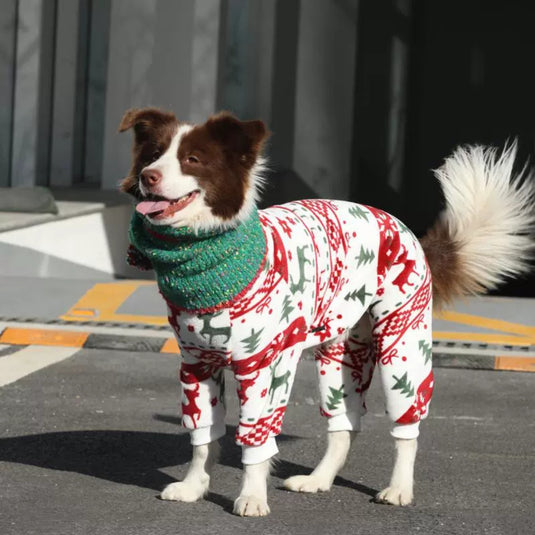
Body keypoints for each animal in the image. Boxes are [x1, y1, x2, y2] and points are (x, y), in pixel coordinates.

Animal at [118, 108, 535, 516]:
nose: (147, 176)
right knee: (345, 421)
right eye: (153, 154)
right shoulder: (196, 363)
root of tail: (405, 228)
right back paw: (318, 479)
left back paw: (399, 488)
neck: (211, 264)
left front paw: (252, 496)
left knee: (406, 424)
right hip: (341, 351)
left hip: (402, 339)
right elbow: (203, 435)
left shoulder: (264, 366)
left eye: (192, 159)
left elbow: (257, 437)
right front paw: (193, 486)